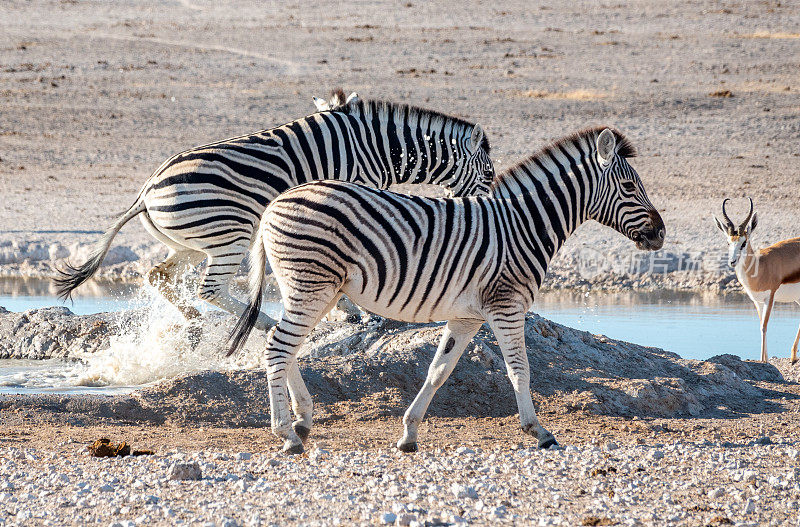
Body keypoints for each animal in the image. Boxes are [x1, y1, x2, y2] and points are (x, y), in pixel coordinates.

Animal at [53, 90, 494, 338]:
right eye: (489, 175)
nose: (486, 211)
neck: (377, 147)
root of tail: (145, 191)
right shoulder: (349, 198)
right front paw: (356, 312)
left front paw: (350, 312)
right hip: (230, 236)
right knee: (208, 289)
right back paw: (261, 322)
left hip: (192, 243)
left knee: (159, 275)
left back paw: (194, 321)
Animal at [223, 127, 664, 454]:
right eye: (629, 186)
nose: (661, 234)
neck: (522, 226)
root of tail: (275, 202)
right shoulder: (507, 305)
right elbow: (519, 369)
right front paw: (538, 431)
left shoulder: (466, 316)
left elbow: (439, 371)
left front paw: (409, 434)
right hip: (311, 285)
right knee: (277, 348)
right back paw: (286, 433)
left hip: (315, 288)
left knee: (283, 345)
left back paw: (302, 421)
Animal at [716, 197, 800, 364]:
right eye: (728, 242)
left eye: (743, 242)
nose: (732, 262)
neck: (761, 267)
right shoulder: (757, 300)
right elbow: (760, 325)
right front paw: (765, 359)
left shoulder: (770, 297)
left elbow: (764, 326)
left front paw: (763, 360)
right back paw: (793, 356)